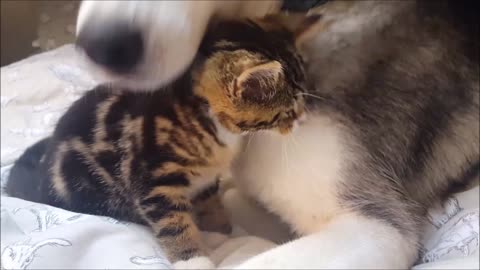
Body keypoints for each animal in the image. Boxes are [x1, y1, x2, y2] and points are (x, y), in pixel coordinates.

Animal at [5, 19, 306, 268]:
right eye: (288, 111)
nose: (302, 118)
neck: (202, 113)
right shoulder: (152, 178)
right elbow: (172, 223)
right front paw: (194, 260)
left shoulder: (206, 177)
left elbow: (209, 200)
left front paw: (219, 231)